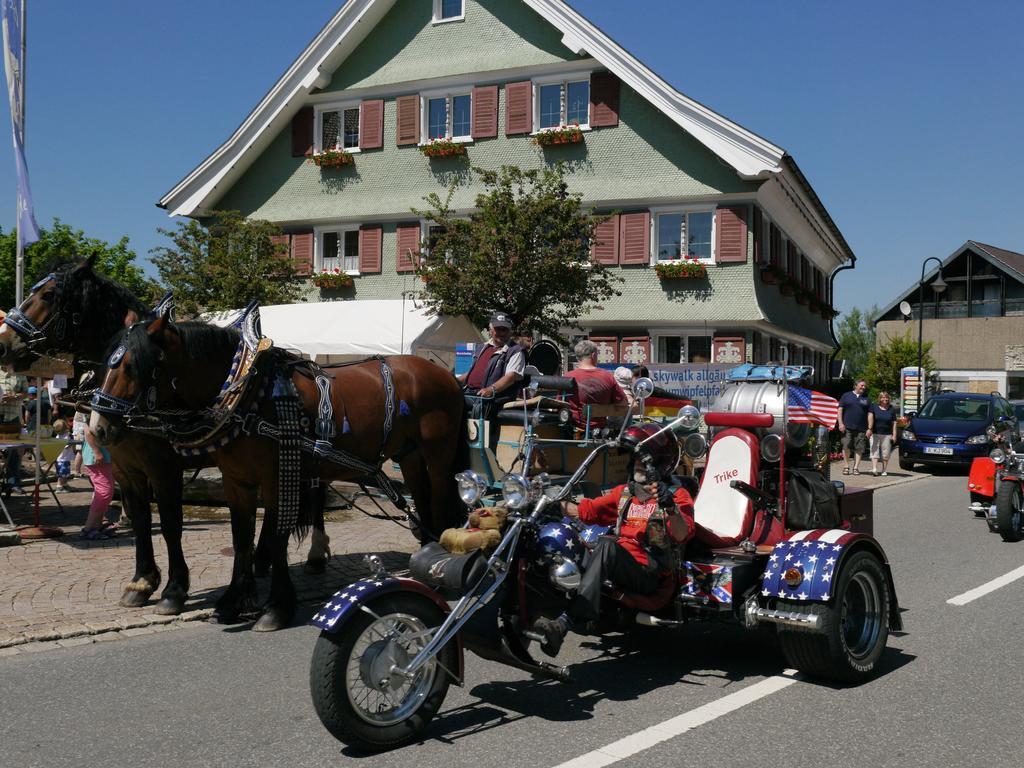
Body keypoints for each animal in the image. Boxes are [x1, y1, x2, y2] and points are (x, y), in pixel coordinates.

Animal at [92, 311, 468, 630]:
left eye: (131, 367)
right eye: (105, 364)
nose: (98, 427)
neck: (248, 396)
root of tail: (444, 374)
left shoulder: (272, 476)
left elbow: (275, 535)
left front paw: (275, 608)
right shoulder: (235, 480)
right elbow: (240, 537)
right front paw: (233, 601)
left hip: (438, 454)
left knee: (438, 502)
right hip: (410, 456)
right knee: (423, 500)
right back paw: (425, 562)